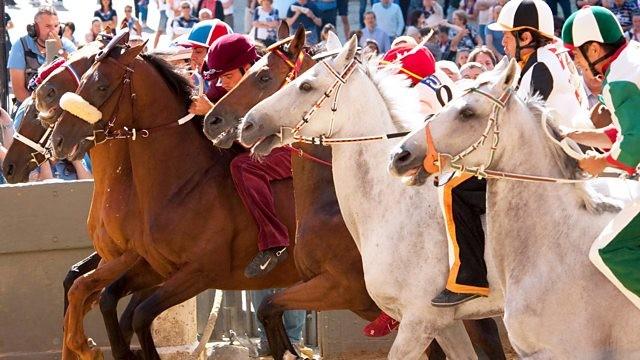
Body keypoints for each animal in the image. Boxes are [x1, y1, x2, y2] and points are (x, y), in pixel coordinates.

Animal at [50, 31, 300, 360]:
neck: (183, 185)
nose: (58, 139)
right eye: (82, 81)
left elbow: (123, 307)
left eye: (101, 85)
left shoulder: (198, 271)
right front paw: (85, 343)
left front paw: (88, 345)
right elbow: (91, 290)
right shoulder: (154, 266)